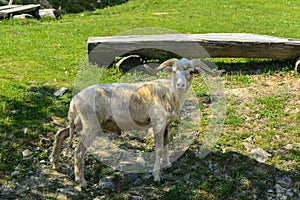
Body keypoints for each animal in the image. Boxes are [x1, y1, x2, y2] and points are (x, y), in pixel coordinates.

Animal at [49, 57, 223, 188]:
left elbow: (166, 143)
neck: (169, 92)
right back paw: (82, 181)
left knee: (60, 134)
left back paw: (55, 163)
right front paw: (157, 175)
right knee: (79, 151)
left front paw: (167, 164)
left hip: (79, 123)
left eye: (191, 72)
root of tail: (74, 102)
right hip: (90, 125)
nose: (180, 85)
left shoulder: (166, 124)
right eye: (174, 71)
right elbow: (159, 149)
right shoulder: (158, 123)